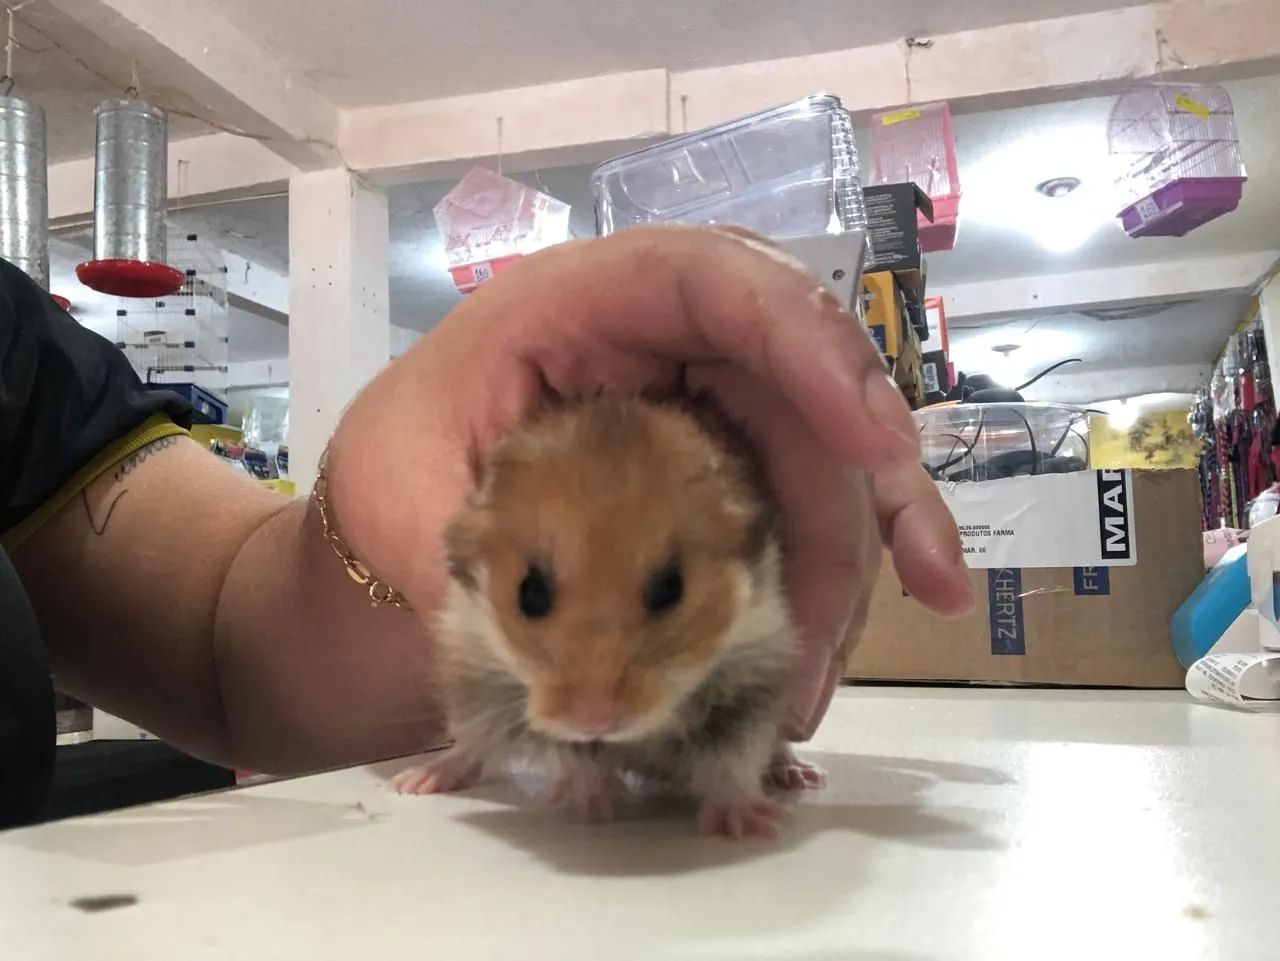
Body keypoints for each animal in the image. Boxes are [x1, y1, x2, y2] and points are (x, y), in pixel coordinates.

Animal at [391, 397, 824, 839]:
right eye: (531, 592)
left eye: (671, 587)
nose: (595, 719)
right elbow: (574, 756)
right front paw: (595, 805)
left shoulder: (750, 687)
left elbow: (732, 764)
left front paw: (748, 825)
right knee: (472, 744)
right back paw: (415, 781)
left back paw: (798, 775)